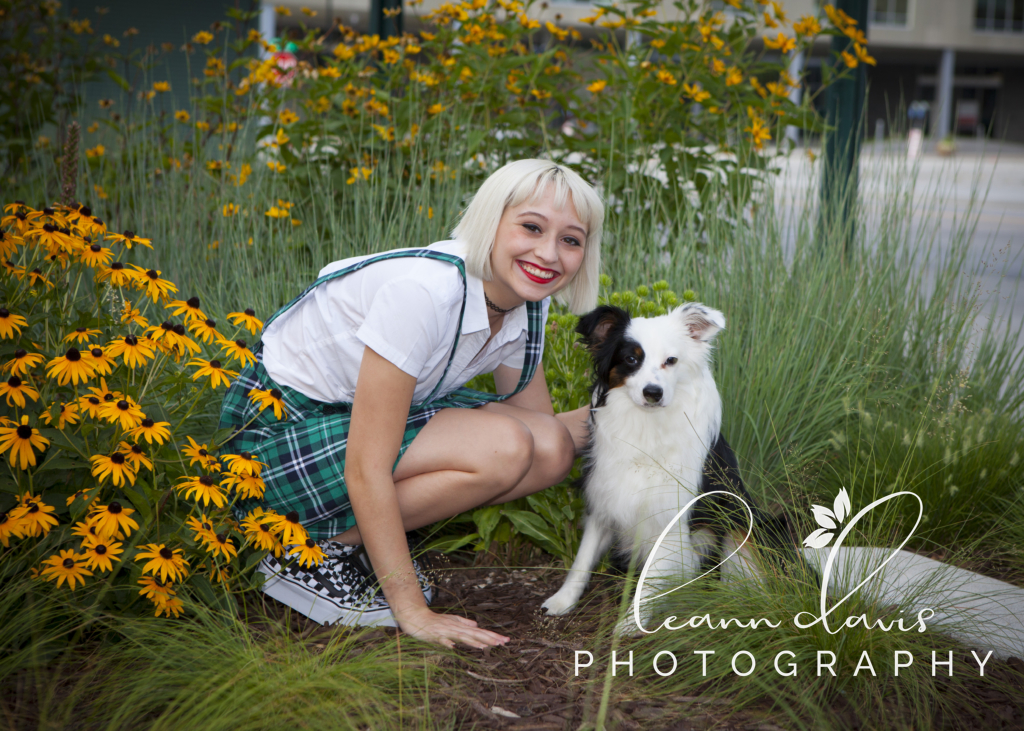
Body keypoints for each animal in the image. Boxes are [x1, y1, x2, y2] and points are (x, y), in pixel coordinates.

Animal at [544, 301, 790, 626]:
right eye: (631, 359)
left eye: (671, 361)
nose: (653, 393)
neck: (648, 426)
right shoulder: (605, 498)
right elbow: (582, 560)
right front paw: (562, 600)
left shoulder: (672, 517)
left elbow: (651, 578)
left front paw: (629, 625)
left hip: (748, 525)